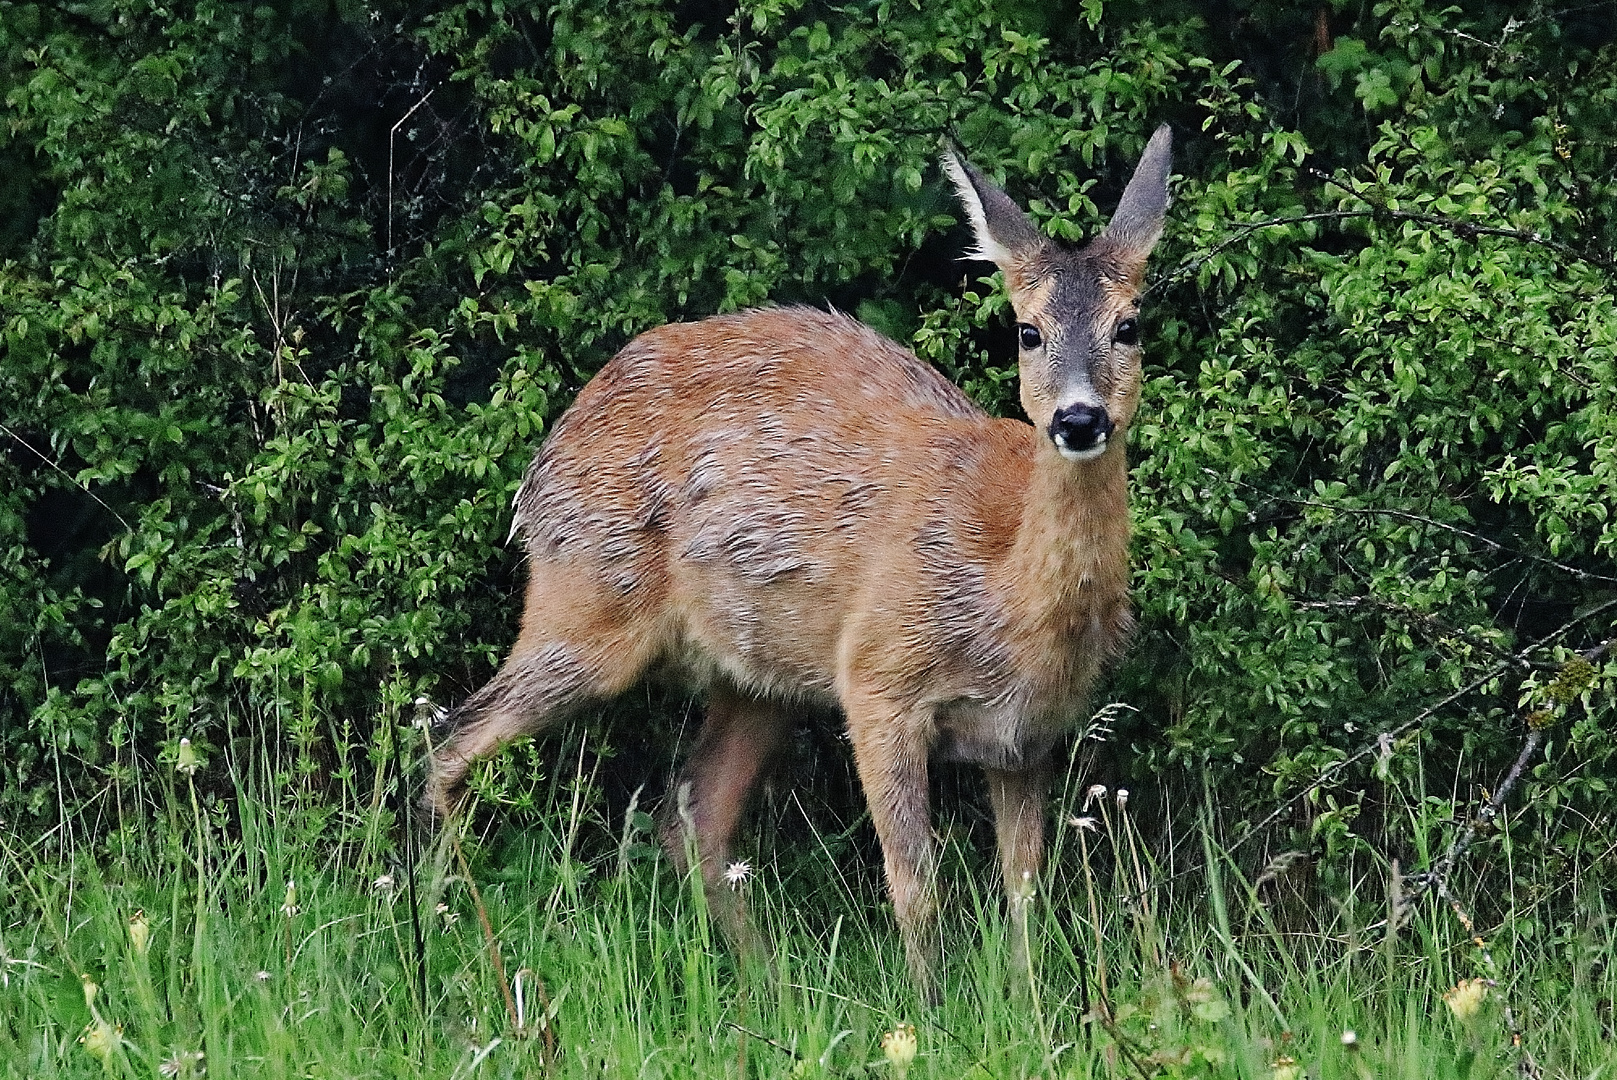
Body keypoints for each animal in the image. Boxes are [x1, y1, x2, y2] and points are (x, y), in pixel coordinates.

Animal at [423, 128, 1170, 1002]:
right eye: (1027, 330)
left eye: (1129, 325)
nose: (1079, 419)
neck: (1005, 591)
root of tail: (546, 457)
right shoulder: (877, 680)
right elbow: (912, 884)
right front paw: (930, 1011)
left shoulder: (1028, 736)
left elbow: (1023, 893)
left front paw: (1027, 1008)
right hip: (583, 594)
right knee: (450, 742)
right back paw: (448, 938)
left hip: (756, 678)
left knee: (691, 813)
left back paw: (766, 983)